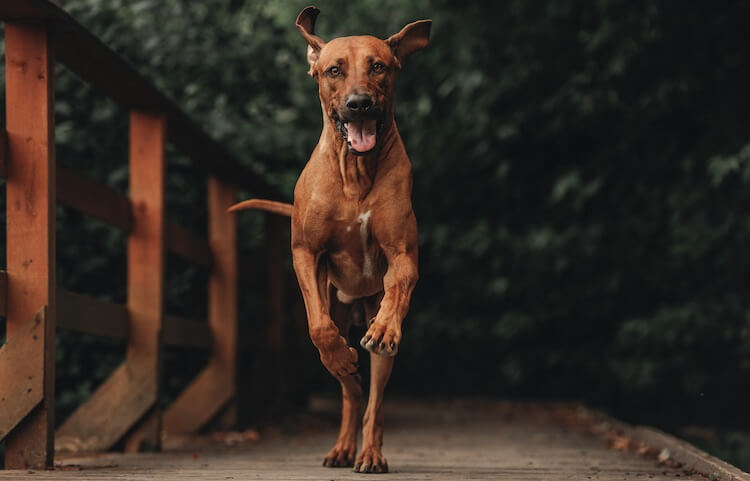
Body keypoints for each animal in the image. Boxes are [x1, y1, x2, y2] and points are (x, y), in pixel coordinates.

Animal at [229, 5, 432, 472]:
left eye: (379, 66)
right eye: (334, 70)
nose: (359, 104)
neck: (355, 172)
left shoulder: (403, 253)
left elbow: (399, 284)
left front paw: (387, 329)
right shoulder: (306, 253)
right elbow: (319, 329)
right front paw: (339, 356)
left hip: (376, 337)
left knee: (373, 400)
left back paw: (370, 450)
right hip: (338, 312)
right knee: (350, 391)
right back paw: (343, 440)